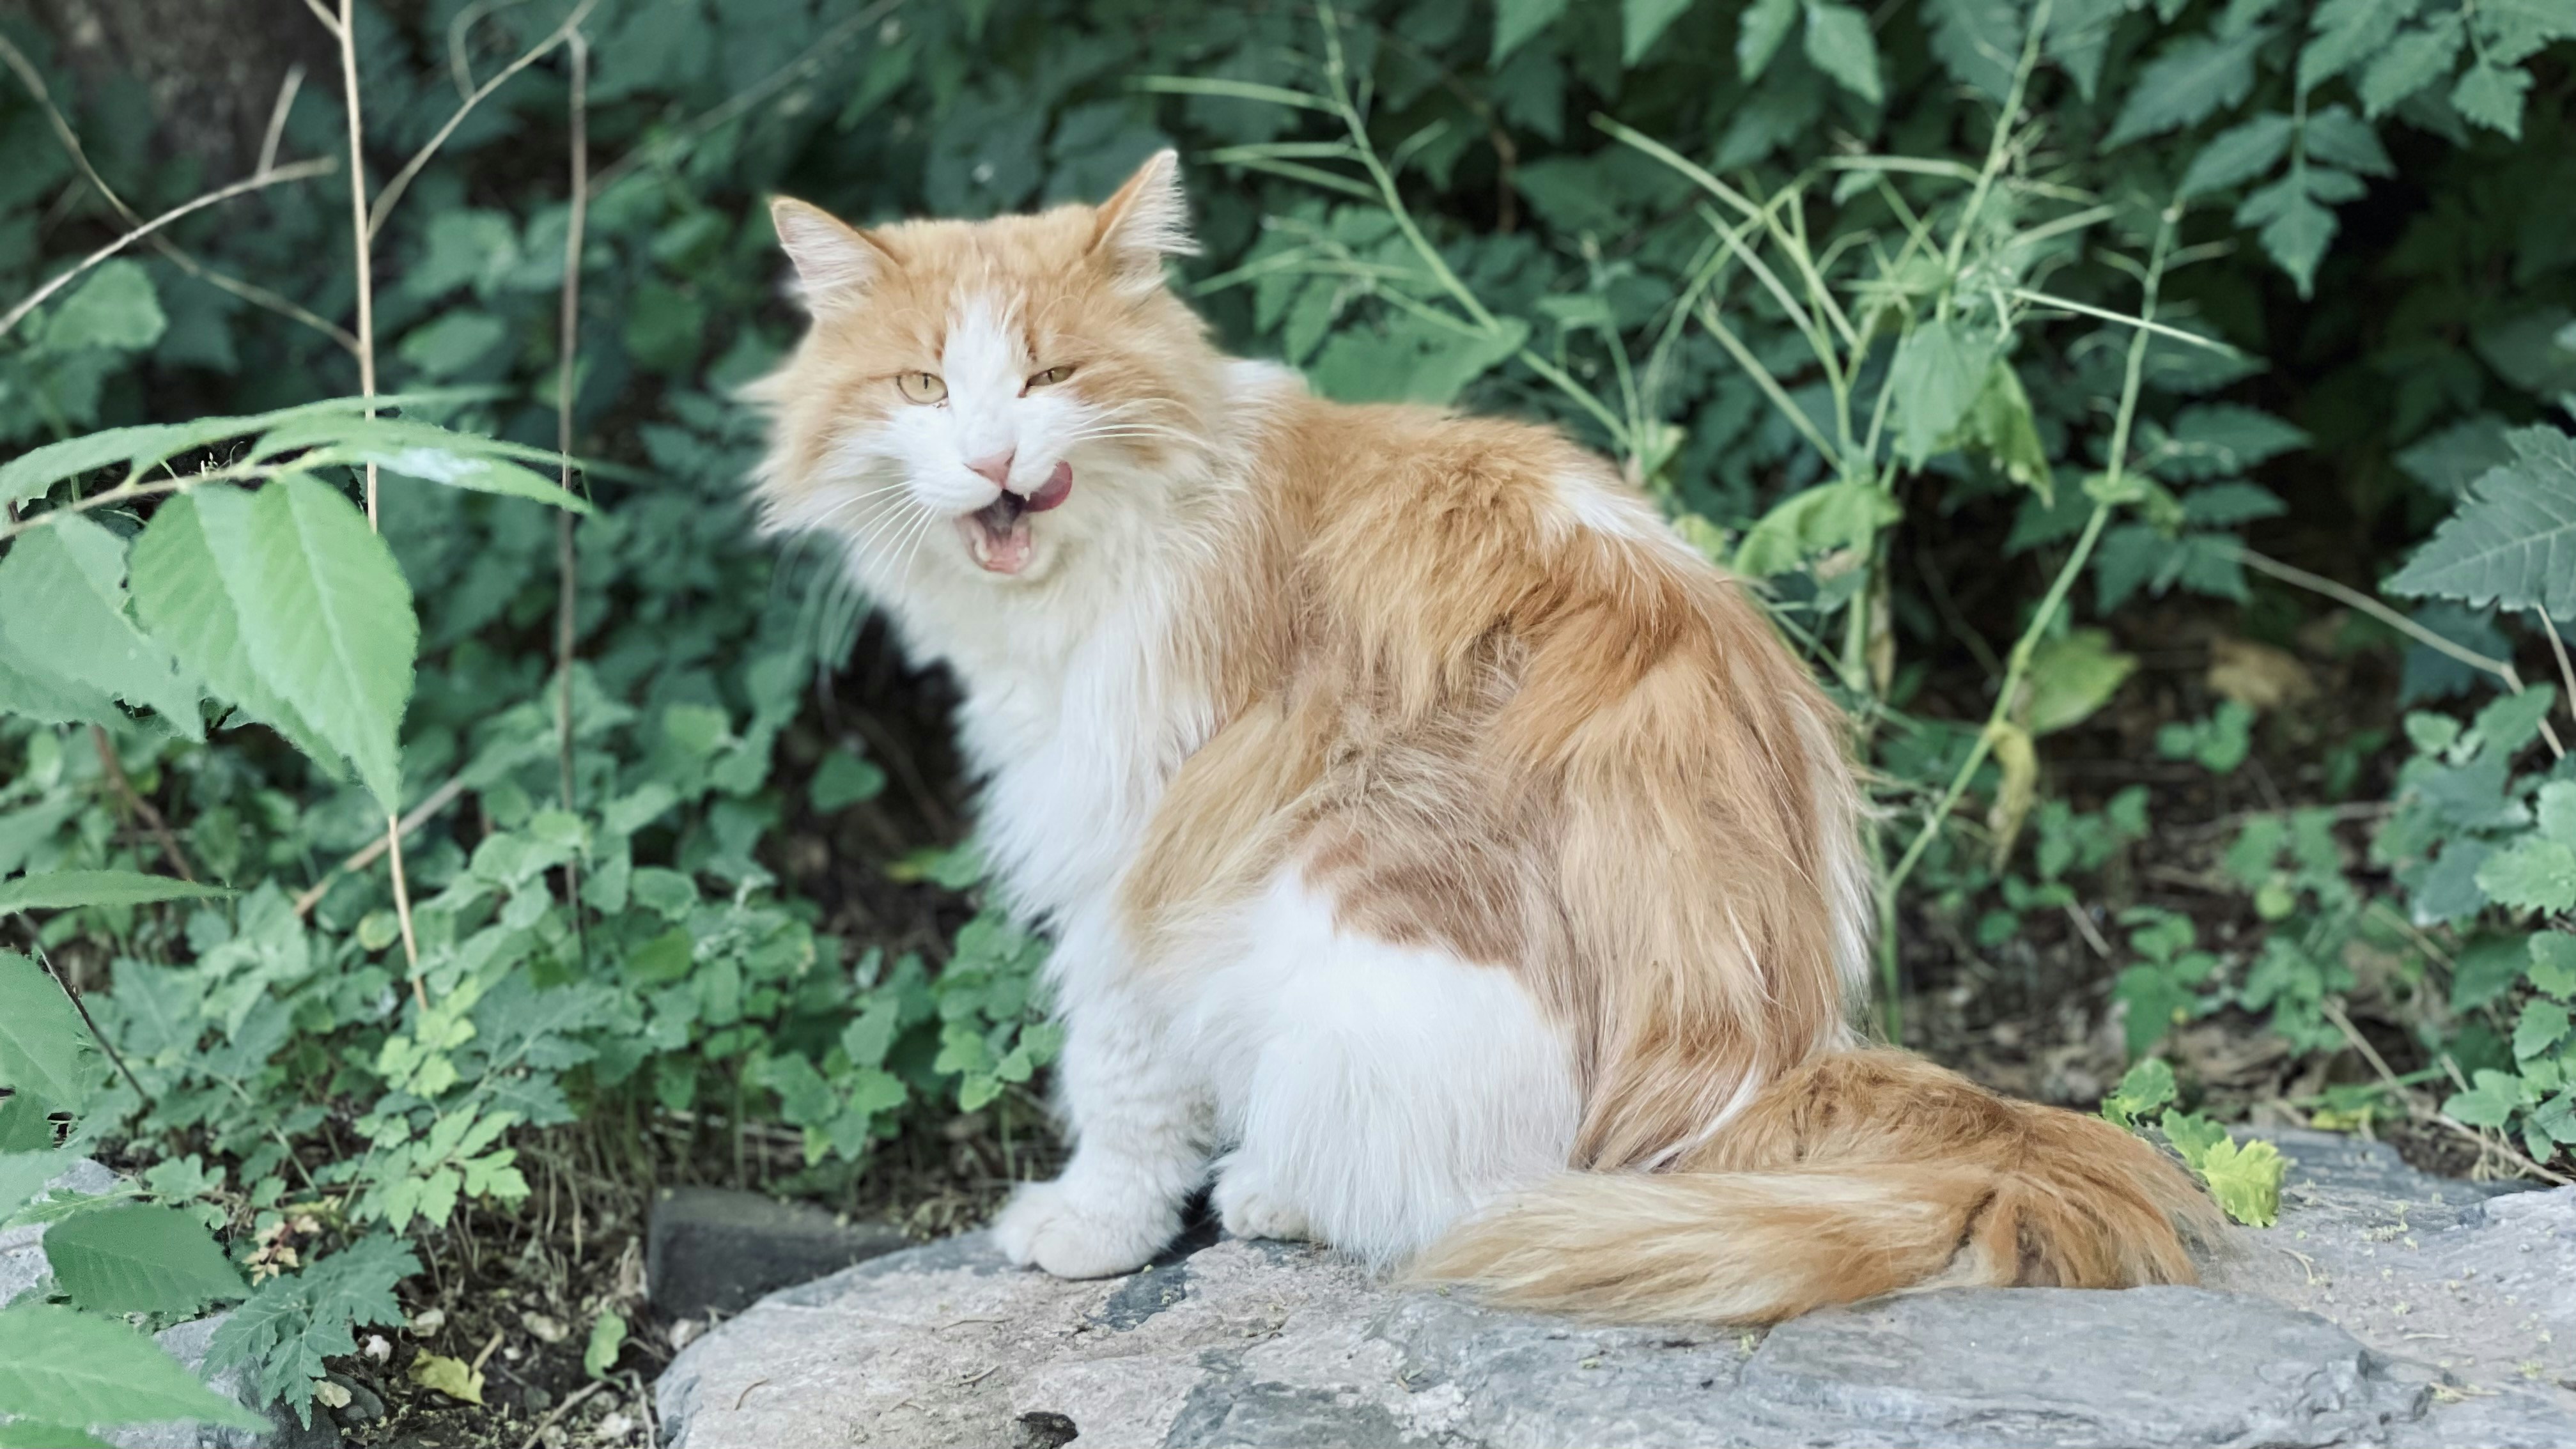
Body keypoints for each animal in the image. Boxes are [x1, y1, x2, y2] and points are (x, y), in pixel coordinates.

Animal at [747, 155, 2215, 1328]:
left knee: (1469, 1197)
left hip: (1338, 910)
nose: (993, 459)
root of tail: (1769, 1066)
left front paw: (1093, 1226)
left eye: (1053, 375)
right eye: (925, 386)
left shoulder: (1126, 852)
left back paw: (1278, 1188)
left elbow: (1117, 1075)